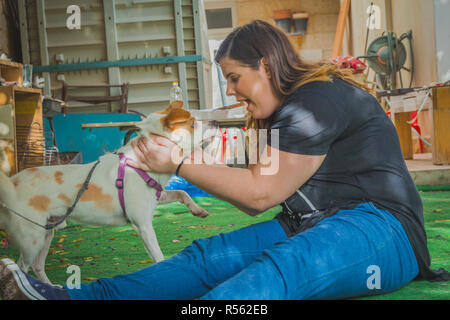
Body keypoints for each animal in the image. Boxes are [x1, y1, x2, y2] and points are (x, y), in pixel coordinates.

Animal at [0, 101, 218, 284]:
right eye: (193, 124)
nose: (215, 121)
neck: (140, 163)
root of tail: (13, 182)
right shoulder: (143, 225)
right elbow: (158, 256)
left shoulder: (158, 196)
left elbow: (182, 192)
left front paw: (197, 209)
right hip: (32, 239)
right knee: (22, 267)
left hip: (47, 232)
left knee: (37, 266)